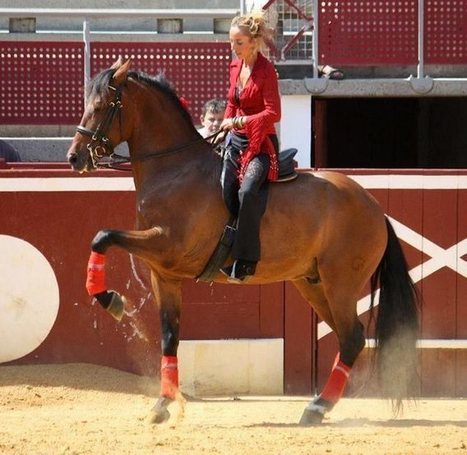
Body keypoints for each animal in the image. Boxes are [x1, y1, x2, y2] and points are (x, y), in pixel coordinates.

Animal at [66, 58, 420, 426]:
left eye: (101, 106)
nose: (74, 157)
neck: (175, 169)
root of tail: (373, 206)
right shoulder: (163, 273)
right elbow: (169, 337)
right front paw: (162, 404)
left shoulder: (166, 245)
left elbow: (102, 237)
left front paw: (110, 300)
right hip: (312, 282)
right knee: (346, 336)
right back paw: (319, 405)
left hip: (341, 284)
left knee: (351, 337)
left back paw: (317, 406)